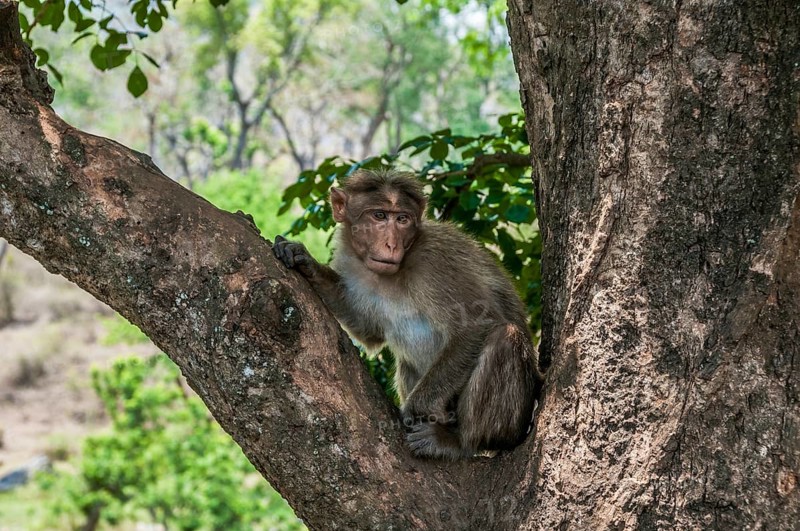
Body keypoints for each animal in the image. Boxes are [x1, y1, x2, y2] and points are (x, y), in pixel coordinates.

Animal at [273, 168, 540, 459]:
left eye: (402, 219)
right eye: (379, 215)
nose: (391, 244)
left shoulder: (434, 260)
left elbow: (475, 324)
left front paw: (416, 411)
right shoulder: (350, 264)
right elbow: (370, 332)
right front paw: (305, 262)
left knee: (505, 337)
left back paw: (459, 442)